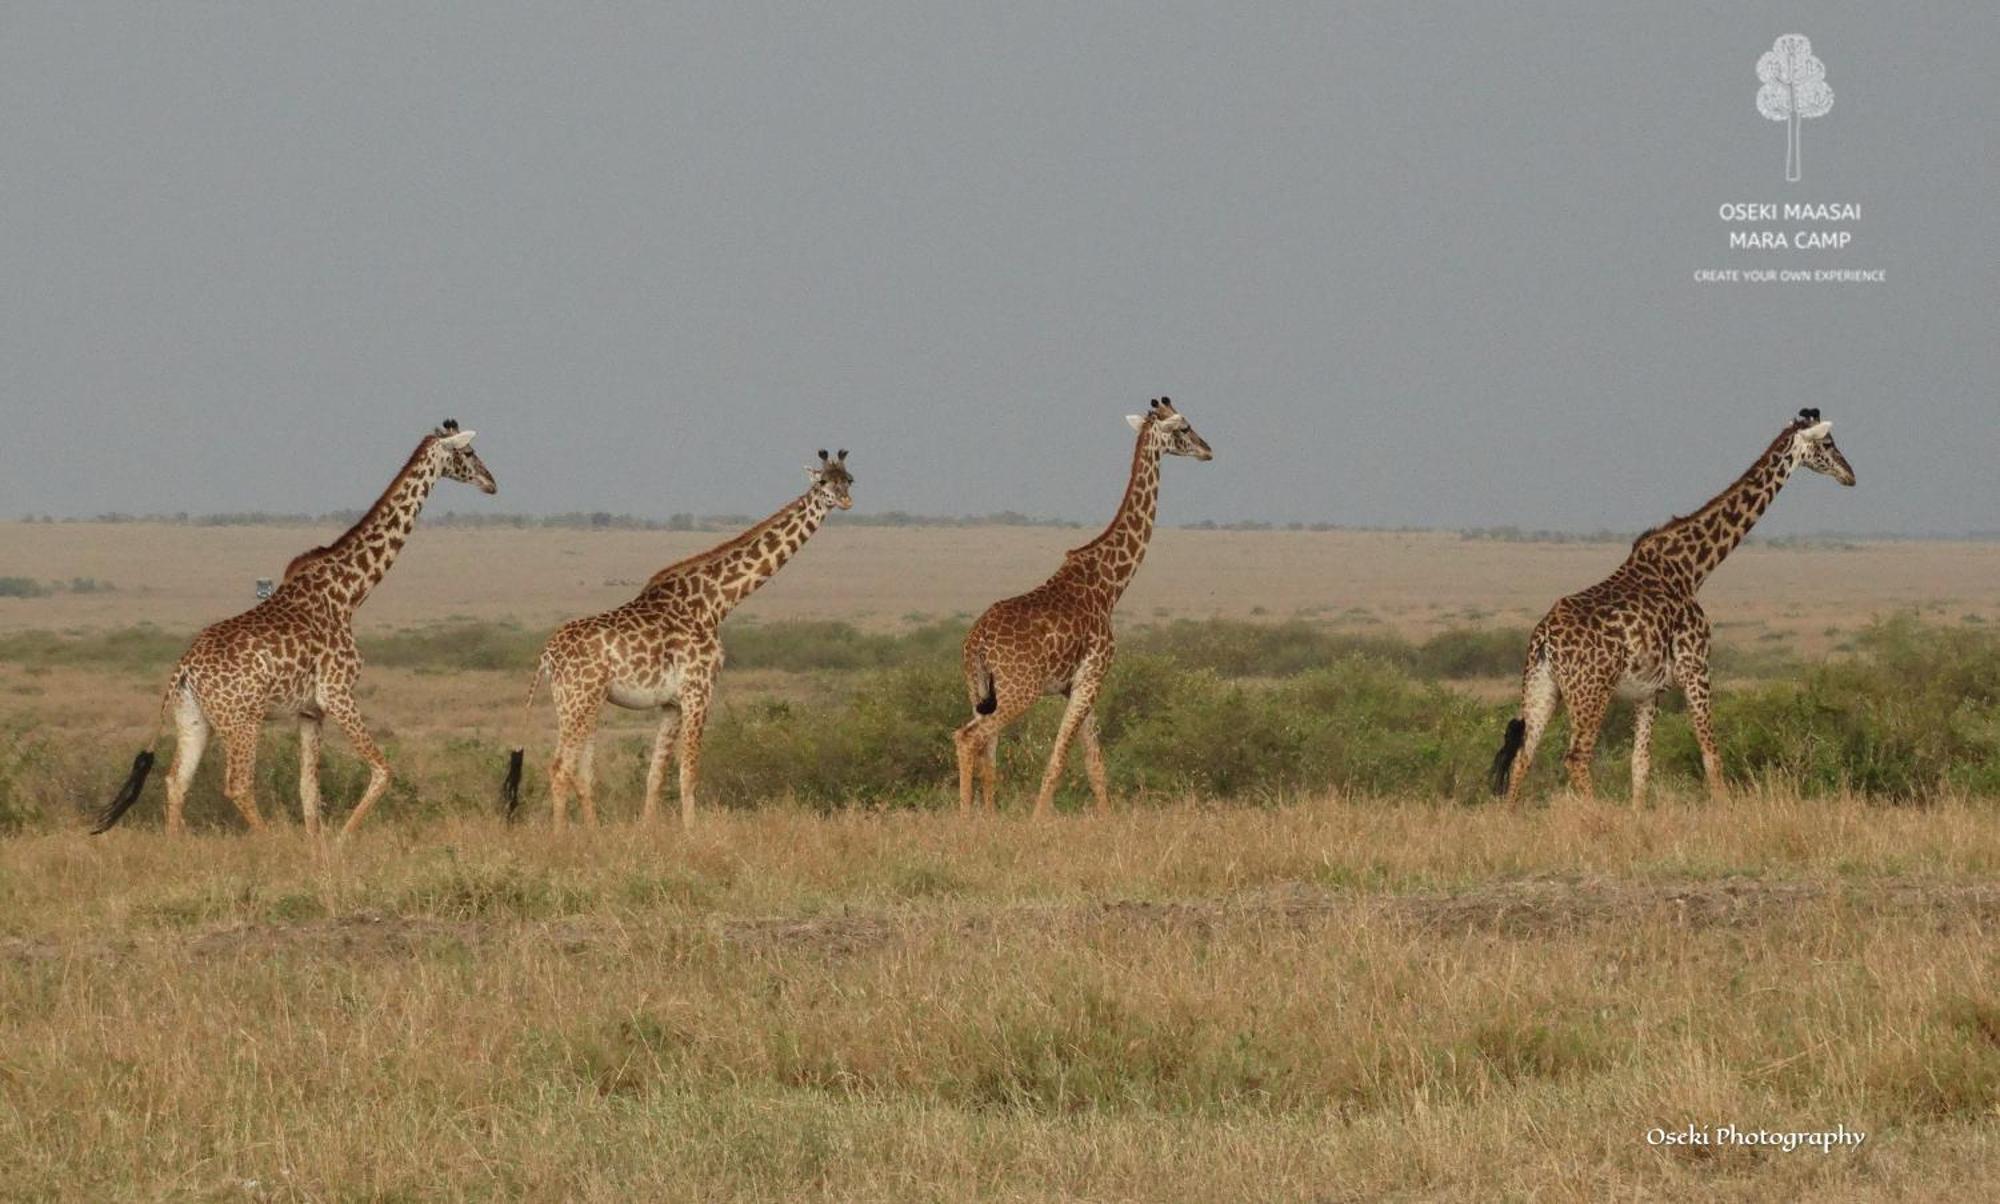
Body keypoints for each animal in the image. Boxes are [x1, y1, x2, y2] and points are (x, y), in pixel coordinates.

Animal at [91, 422, 500, 836]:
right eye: (468, 453)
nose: (491, 483)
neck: (349, 592)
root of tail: (184, 669)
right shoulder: (338, 692)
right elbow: (382, 771)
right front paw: (341, 840)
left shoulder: (309, 710)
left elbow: (309, 790)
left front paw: (318, 845)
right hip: (242, 720)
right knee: (237, 785)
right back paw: (269, 840)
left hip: (194, 718)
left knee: (177, 780)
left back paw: (178, 844)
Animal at [504, 446, 856, 828]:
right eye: (822, 483)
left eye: (849, 479)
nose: (845, 500)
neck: (715, 603)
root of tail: (546, 654)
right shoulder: (698, 691)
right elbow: (689, 773)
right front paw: (693, 833)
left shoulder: (671, 702)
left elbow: (655, 775)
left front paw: (648, 831)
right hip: (578, 699)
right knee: (559, 768)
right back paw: (561, 837)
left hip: (582, 701)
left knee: (581, 772)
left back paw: (593, 832)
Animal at [956, 396, 1216, 816]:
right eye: (1184, 427)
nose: (1208, 450)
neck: (1109, 585)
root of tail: (976, 643)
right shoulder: (1093, 675)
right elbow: (1060, 757)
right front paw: (1039, 819)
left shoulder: (1078, 683)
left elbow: (1095, 762)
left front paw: (1105, 819)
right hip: (1019, 691)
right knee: (968, 738)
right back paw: (966, 817)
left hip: (978, 690)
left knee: (986, 748)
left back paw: (987, 816)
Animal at [1496, 406, 1848, 808]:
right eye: (1828, 444)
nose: (1850, 475)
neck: (1691, 569)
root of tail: (1544, 639)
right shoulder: (1696, 668)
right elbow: (1711, 754)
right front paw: (1724, 811)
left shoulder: (1649, 690)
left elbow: (1640, 763)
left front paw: (1637, 815)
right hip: (1591, 691)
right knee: (1575, 756)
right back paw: (1596, 814)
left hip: (1542, 686)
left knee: (1524, 756)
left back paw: (1510, 817)